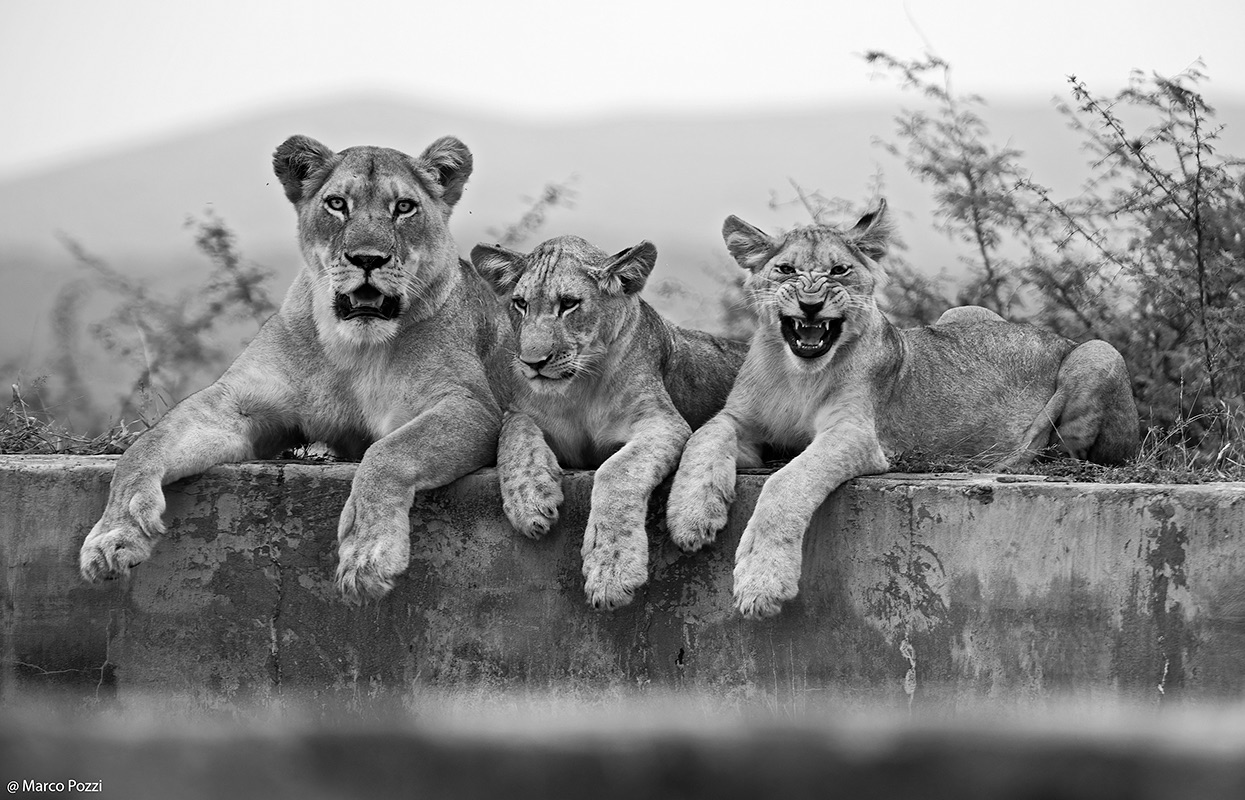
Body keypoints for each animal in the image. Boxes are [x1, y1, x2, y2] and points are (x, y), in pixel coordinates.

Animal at [79, 134, 510, 604]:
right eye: (337, 204)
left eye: (404, 207)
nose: (367, 259)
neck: (353, 349)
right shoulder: (237, 402)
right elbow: (145, 447)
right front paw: (114, 533)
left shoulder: (471, 406)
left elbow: (388, 452)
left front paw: (368, 552)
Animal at [470, 235, 748, 609]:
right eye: (520, 303)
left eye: (568, 304)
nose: (532, 362)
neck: (580, 388)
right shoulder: (522, 412)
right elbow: (512, 434)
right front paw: (529, 500)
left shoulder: (663, 421)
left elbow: (616, 471)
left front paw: (611, 572)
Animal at [666, 199, 1139, 619]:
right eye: (785, 270)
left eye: (839, 271)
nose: (811, 306)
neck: (796, 373)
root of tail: (1059, 337)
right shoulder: (739, 420)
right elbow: (703, 437)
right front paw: (691, 518)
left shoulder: (857, 434)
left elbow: (786, 483)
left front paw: (761, 583)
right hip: (964, 312)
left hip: (1099, 353)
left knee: (1071, 454)